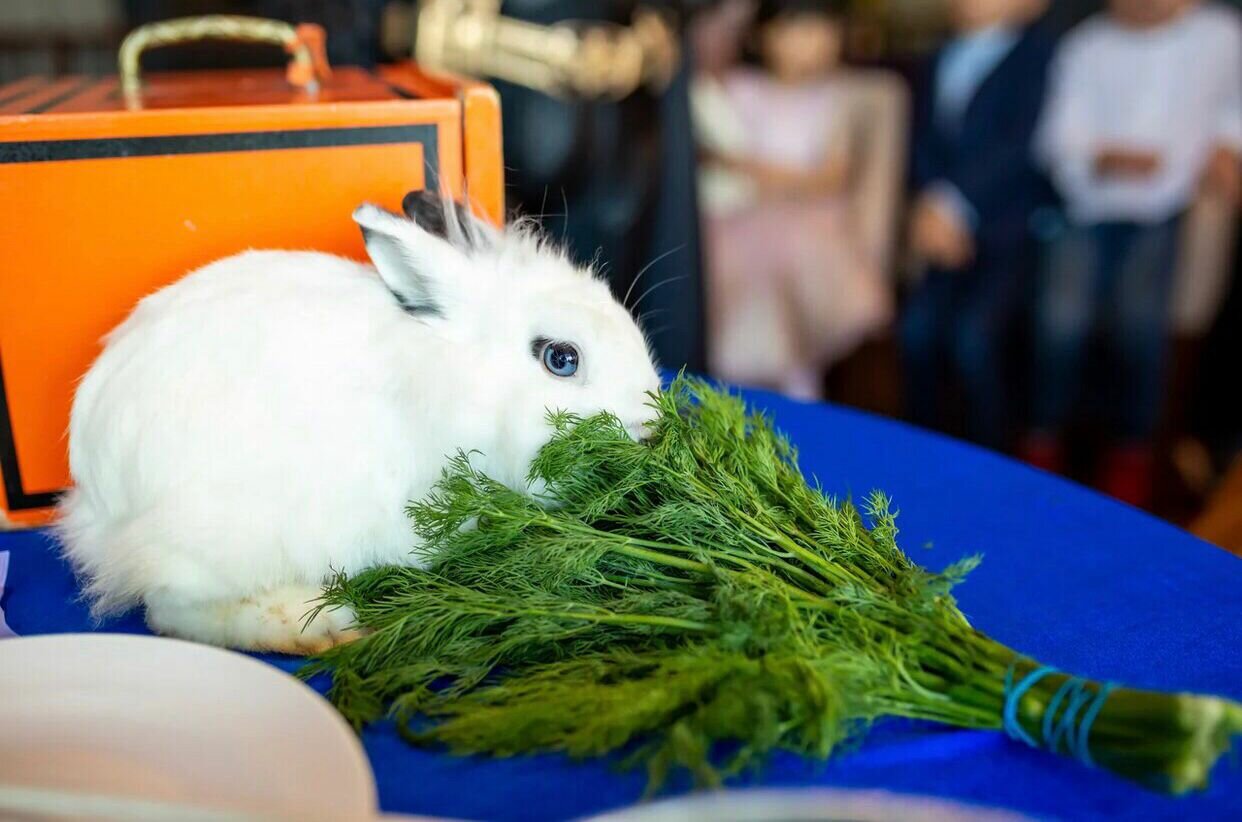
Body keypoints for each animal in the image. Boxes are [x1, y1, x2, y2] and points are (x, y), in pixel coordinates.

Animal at [56, 191, 661, 654]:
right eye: (561, 358)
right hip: (219, 540)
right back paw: (319, 625)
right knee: (170, 612)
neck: (447, 379)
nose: (649, 430)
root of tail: (100, 495)